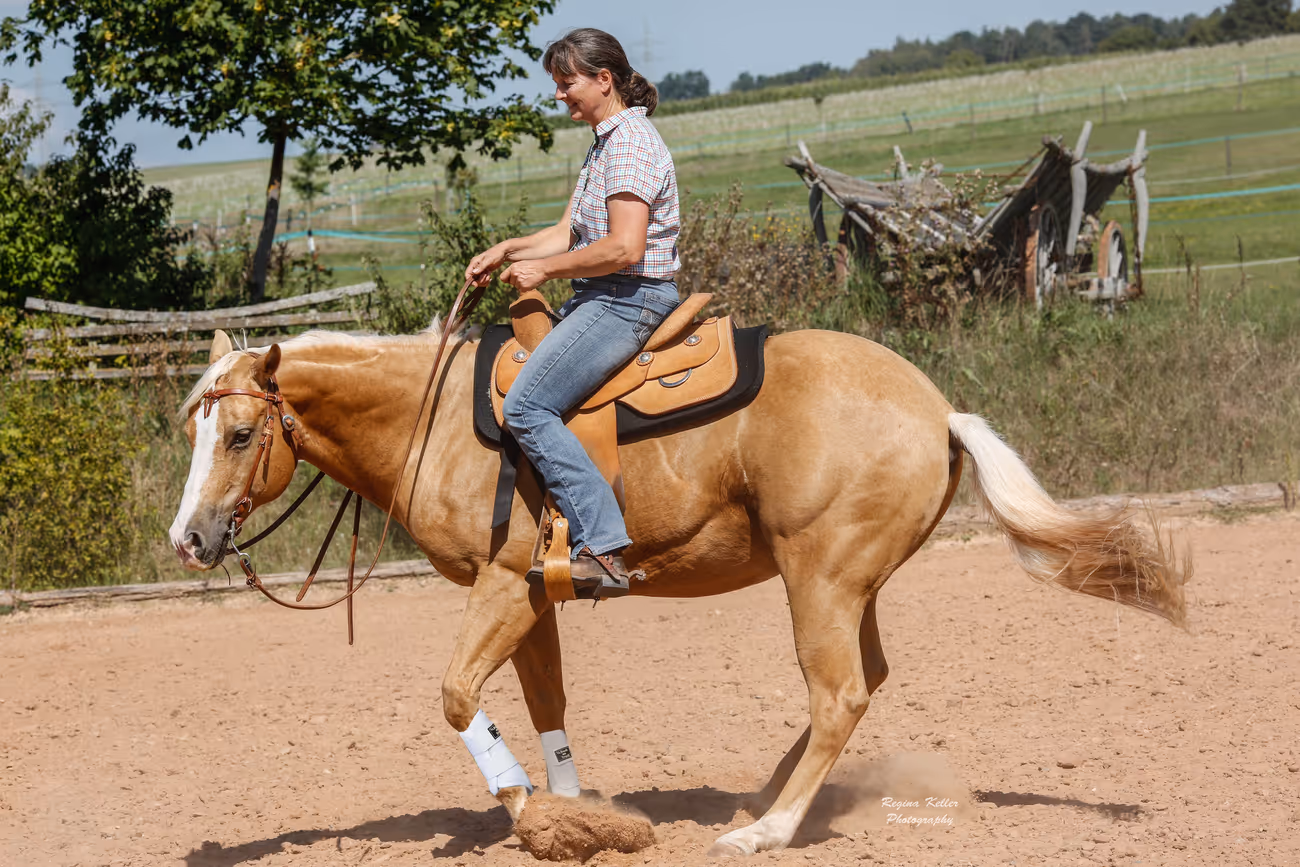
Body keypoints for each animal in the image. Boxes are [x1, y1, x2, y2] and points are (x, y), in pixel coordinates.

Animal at [168, 322, 1186, 856]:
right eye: (195, 430)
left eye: (240, 434)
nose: (189, 538)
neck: (439, 421)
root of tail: (940, 410)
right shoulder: (534, 596)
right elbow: (548, 703)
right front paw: (587, 815)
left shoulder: (500, 588)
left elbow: (457, 694)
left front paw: (540, 821)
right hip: (847, 582)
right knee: (863, 683)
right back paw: (757, 799)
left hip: (819, 578)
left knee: (840, 693)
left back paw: (766, 829)